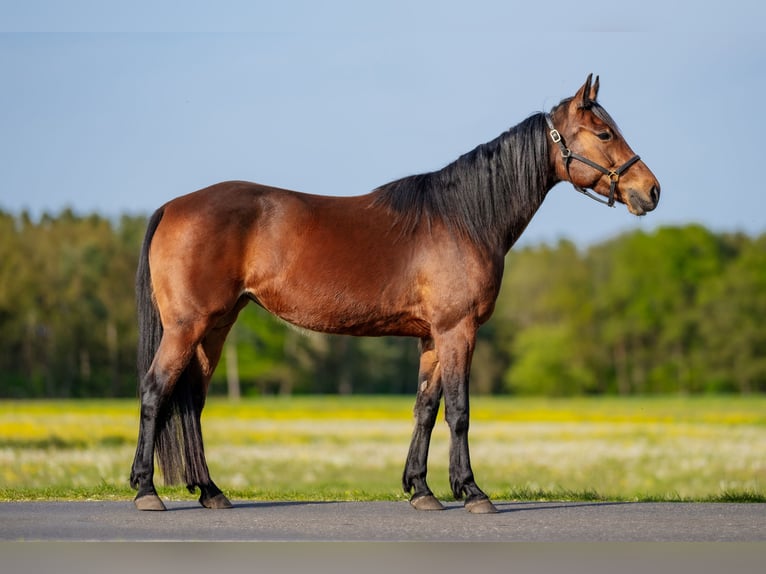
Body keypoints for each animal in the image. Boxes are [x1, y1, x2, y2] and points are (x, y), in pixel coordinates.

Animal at [130, 74, 660, 516]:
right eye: (605, 134)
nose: (651, 191)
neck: (463, 219)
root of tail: (173, 206)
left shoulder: (432, 337)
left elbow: (425, 409)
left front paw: (421, 490)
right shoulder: (457, 331)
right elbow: (459, 412)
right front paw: (472, 492)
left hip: (215, 329)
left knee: (191, 402)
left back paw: (210, 492)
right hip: (187, 328)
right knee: (156, 391)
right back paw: (146, 491)